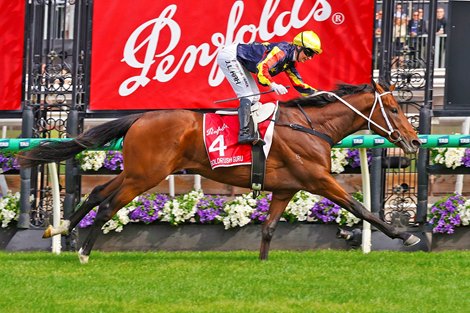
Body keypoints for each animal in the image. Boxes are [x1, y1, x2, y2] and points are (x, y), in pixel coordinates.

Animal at [18, 80, 422, 260]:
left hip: (135, 171)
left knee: (97, 193)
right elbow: (362, 208)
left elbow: (269, 228)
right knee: (106, 205)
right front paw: (406, 236)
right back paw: (84, 252)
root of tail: (140, 118)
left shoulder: (286, 188)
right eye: (395, 110)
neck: (311, 126)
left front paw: (262, 264)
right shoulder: (319, 180)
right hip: (145, 176)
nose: (416, 142)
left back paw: (60, 229)